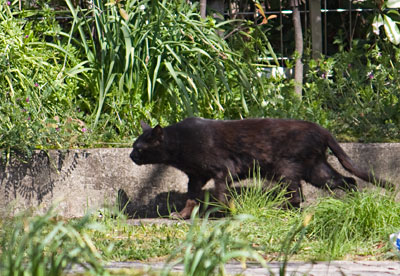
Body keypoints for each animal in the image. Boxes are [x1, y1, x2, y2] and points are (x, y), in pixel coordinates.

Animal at [130, 117, 392, 219]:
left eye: (139, 148)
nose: (131, 156)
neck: (179, 144)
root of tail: (322, 129)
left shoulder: (221, 171)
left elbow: (219, 194)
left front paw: (224, 212)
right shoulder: (196, 176)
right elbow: (191, 197)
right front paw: (183, 215)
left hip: (286, 168)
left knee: (297, 195)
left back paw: (276, 208)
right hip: (317, 171)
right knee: (348, 181)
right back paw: (352, 204)